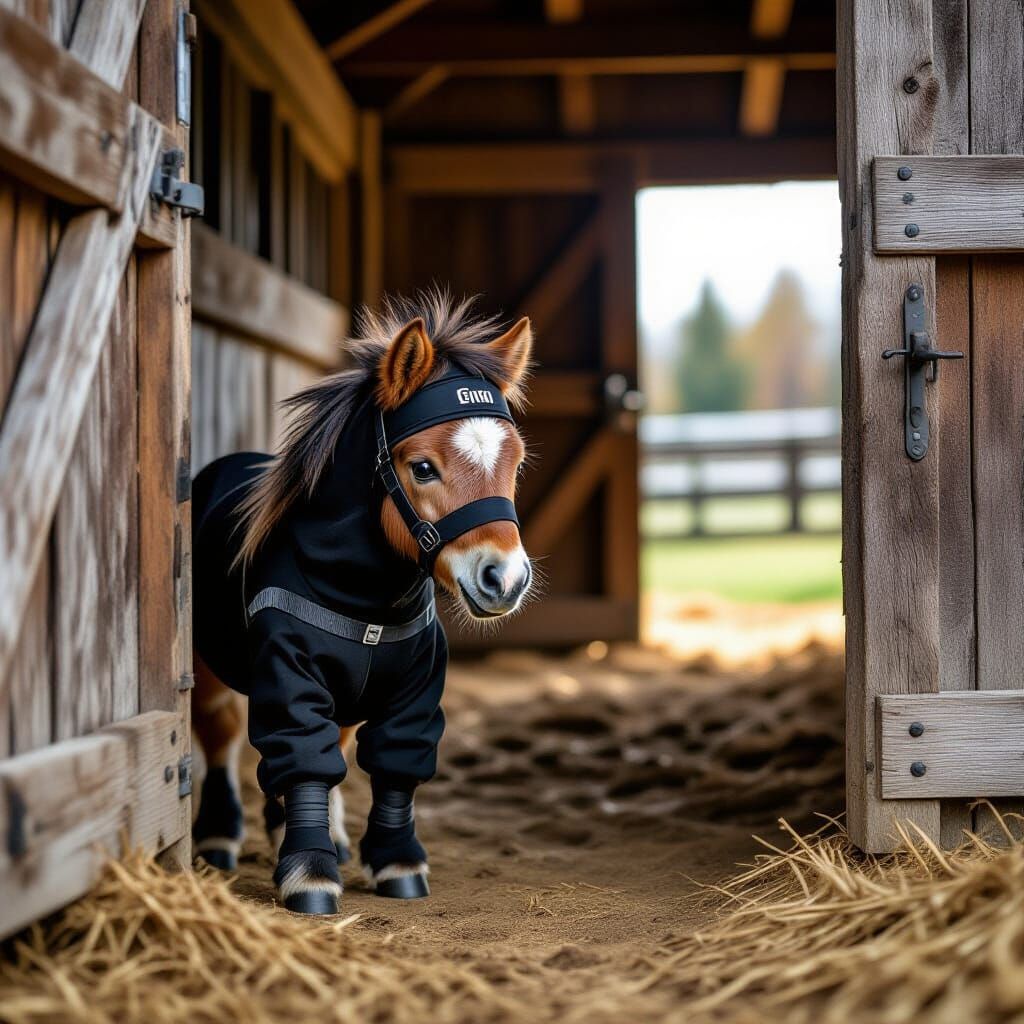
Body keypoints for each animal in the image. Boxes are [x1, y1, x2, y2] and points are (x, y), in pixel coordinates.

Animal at [189, 292, 534, 914]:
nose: (506, 579)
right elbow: (301, 755)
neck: (369, 600)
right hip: (209, 668)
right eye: (422, 467)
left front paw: (394, 862)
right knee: (222, 734)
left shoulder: (414, 684)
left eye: (515, 463)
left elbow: (392, 767)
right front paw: (309, 874)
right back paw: (221, 836)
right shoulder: (289, 672)